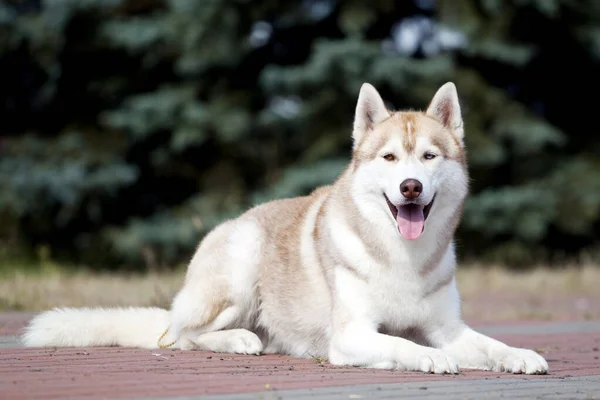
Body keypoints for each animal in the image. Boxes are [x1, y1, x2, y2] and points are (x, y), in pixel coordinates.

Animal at [23, 83, 548, 376]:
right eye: (389, 158)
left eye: (429, 156)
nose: (411, 187)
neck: (402, 256)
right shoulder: (352, 336)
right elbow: (401, 343)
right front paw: (431, 359)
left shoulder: (447, 328)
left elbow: (489, 345)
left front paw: (521, 355)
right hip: (240, 267)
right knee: (182, 334)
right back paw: (238, 340)